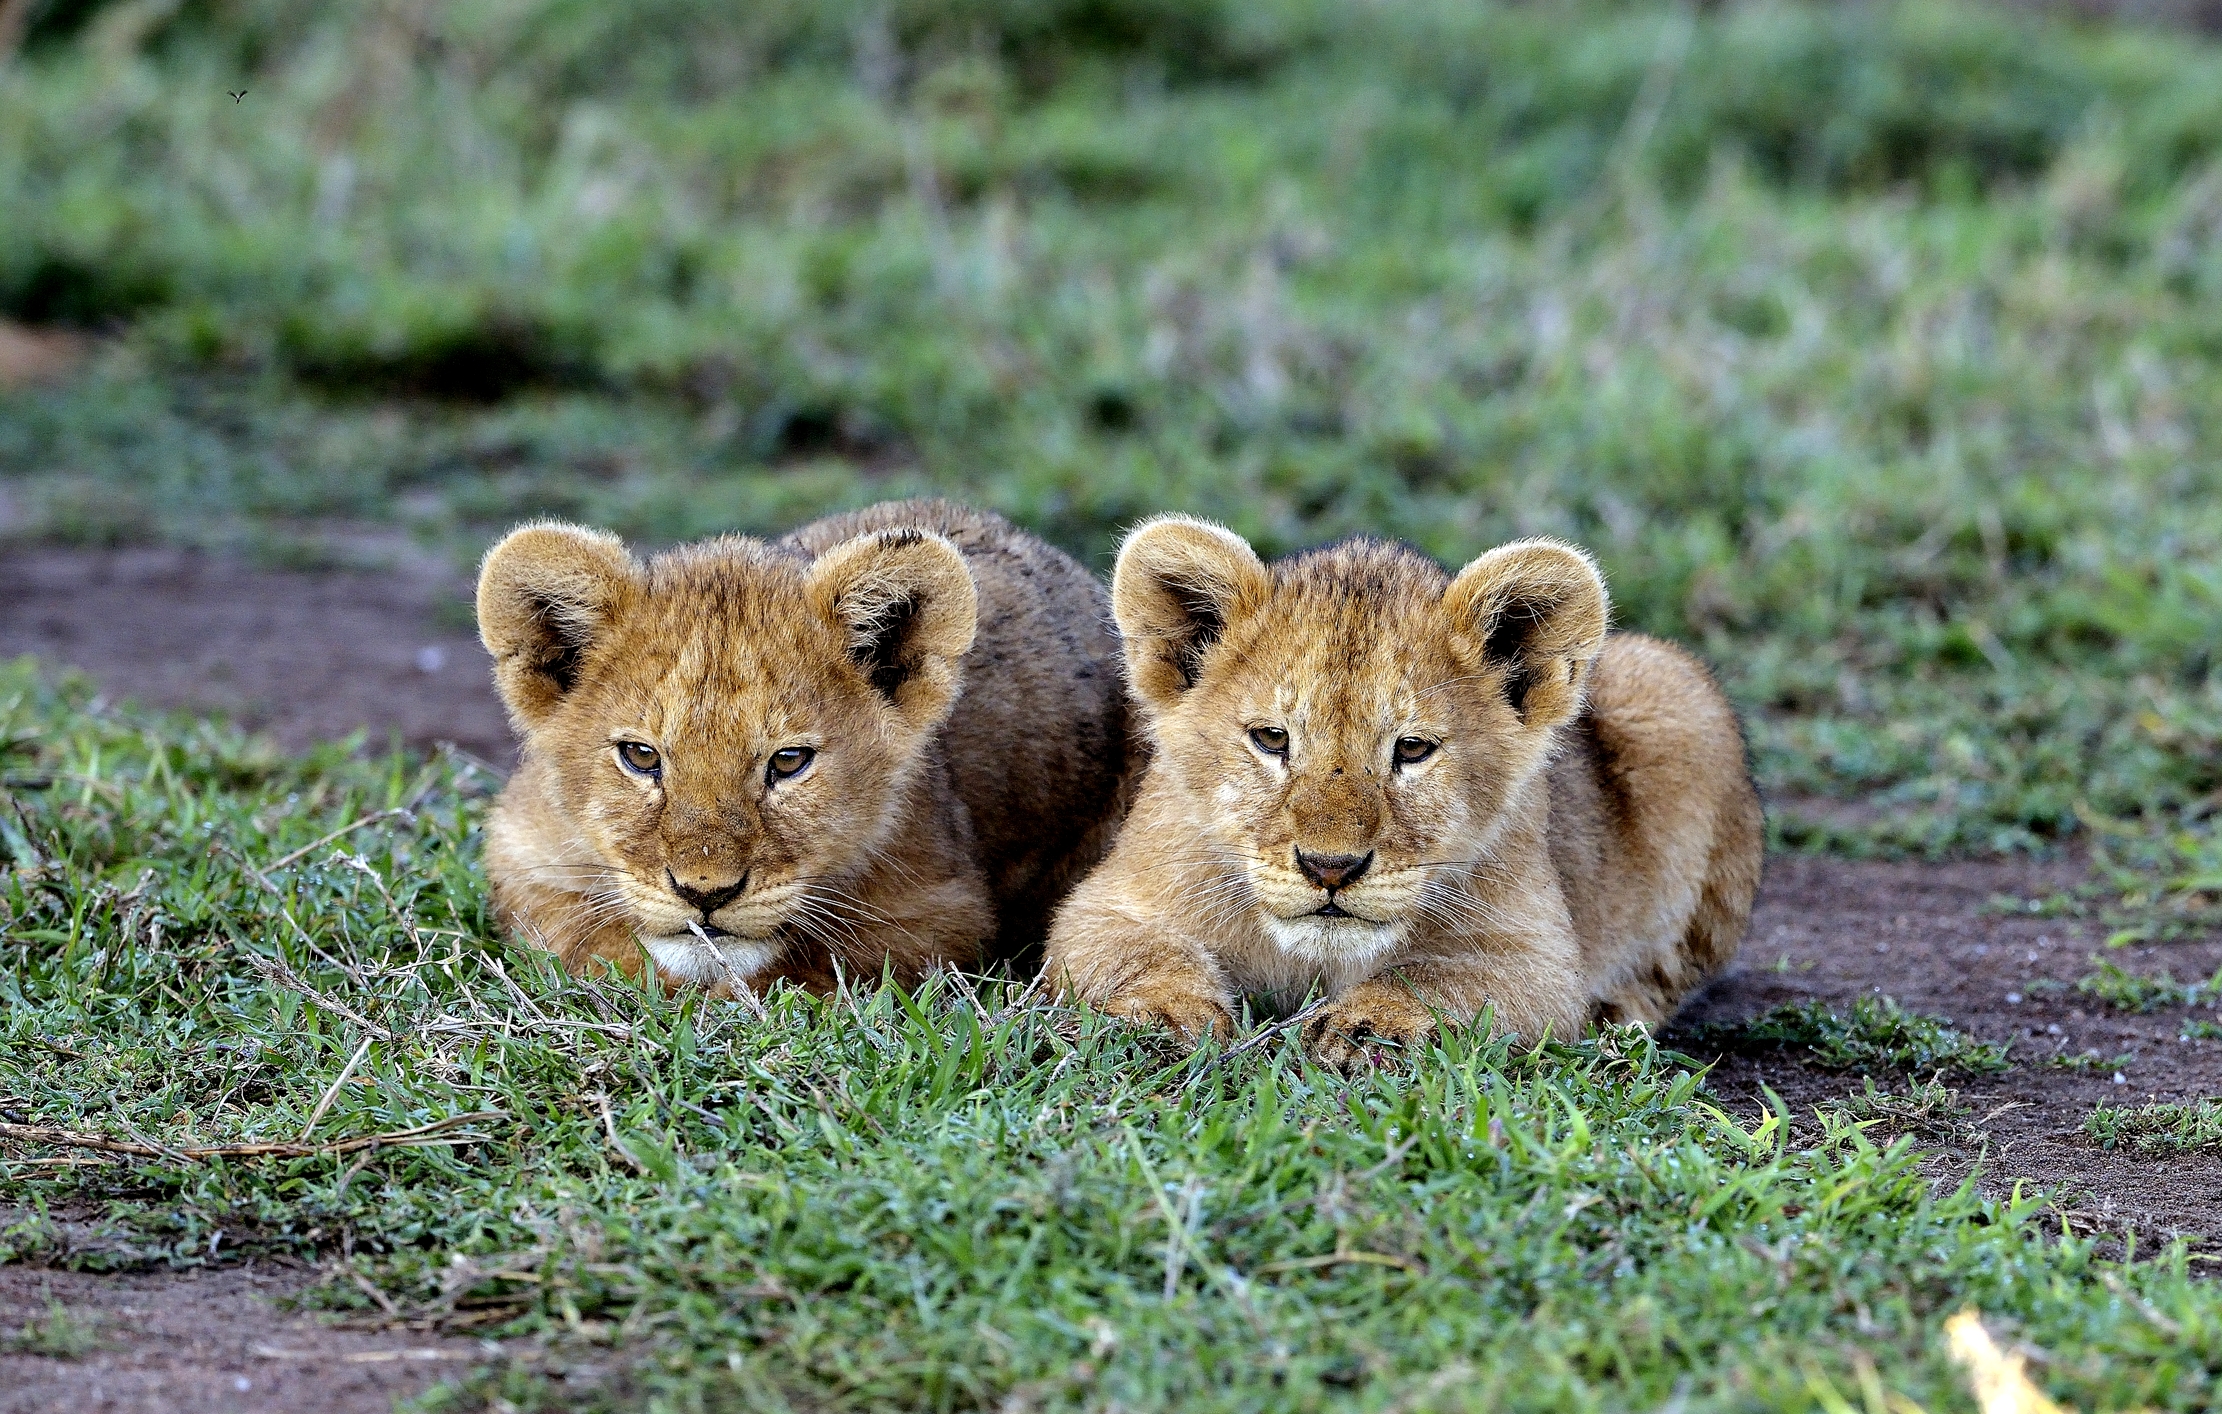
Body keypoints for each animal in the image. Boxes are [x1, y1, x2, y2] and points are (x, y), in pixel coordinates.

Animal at [476, 500, 1134, 996]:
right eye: (641, 756)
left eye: (788, 763)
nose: (705, 893)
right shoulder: (521, 850)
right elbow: (585, 940)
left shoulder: (943, 910)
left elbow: (818, 965)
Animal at [1042, 516, 1762, 1065]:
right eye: (1272, 739)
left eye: (1412, 749)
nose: (1330, 869)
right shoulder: (1107, 904)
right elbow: (1131, 952)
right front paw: (1168, 1017)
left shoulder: (1539, 957)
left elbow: (1434, 979)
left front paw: (1367, 1026)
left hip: (1675, 688)